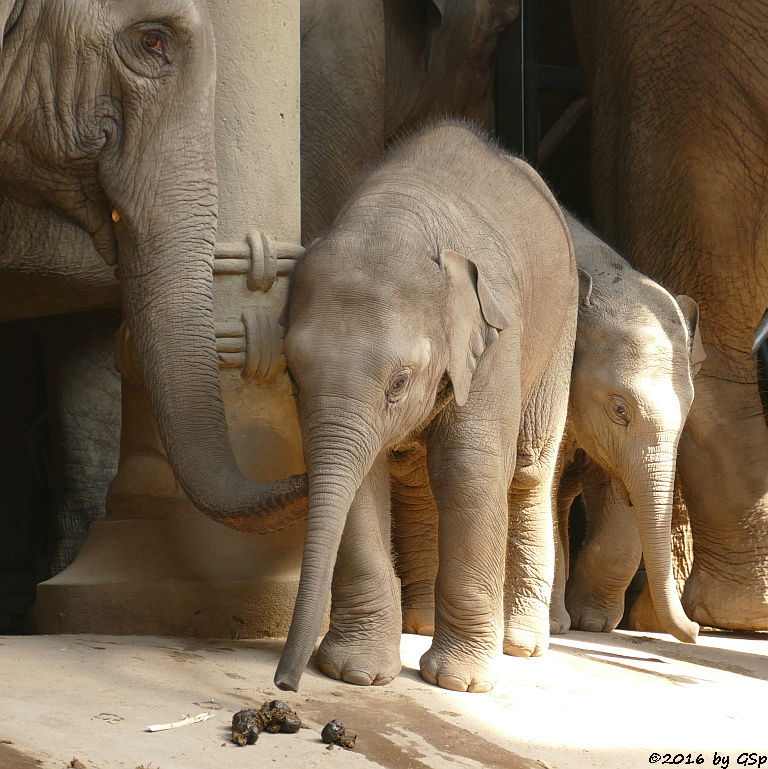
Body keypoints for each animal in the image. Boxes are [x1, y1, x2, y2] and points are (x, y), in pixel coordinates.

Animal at [272, 123, 580, 692]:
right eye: (292, 375)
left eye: (398, 383)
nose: (285, 684)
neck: (396, 219)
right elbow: (362, 476)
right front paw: (357, 673)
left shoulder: (495, 341)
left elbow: (469, 469)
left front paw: (461, 683)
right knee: (413, 473)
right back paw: (419, 622)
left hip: (560, 330)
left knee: (528, 470)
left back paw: (522, 645)